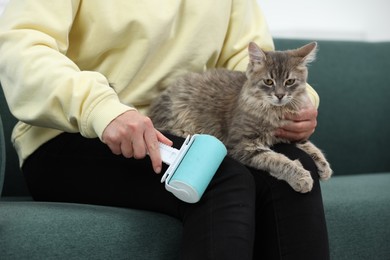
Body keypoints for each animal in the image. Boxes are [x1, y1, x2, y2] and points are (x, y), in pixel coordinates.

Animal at [148, 41, 330, 193]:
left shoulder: (290, 132)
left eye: (290, 81)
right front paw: (301, 176)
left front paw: (324, 167)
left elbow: (309, 146)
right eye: (269, 82)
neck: (274, 112)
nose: (280, 95)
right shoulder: (243, 145)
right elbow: (277, 160)